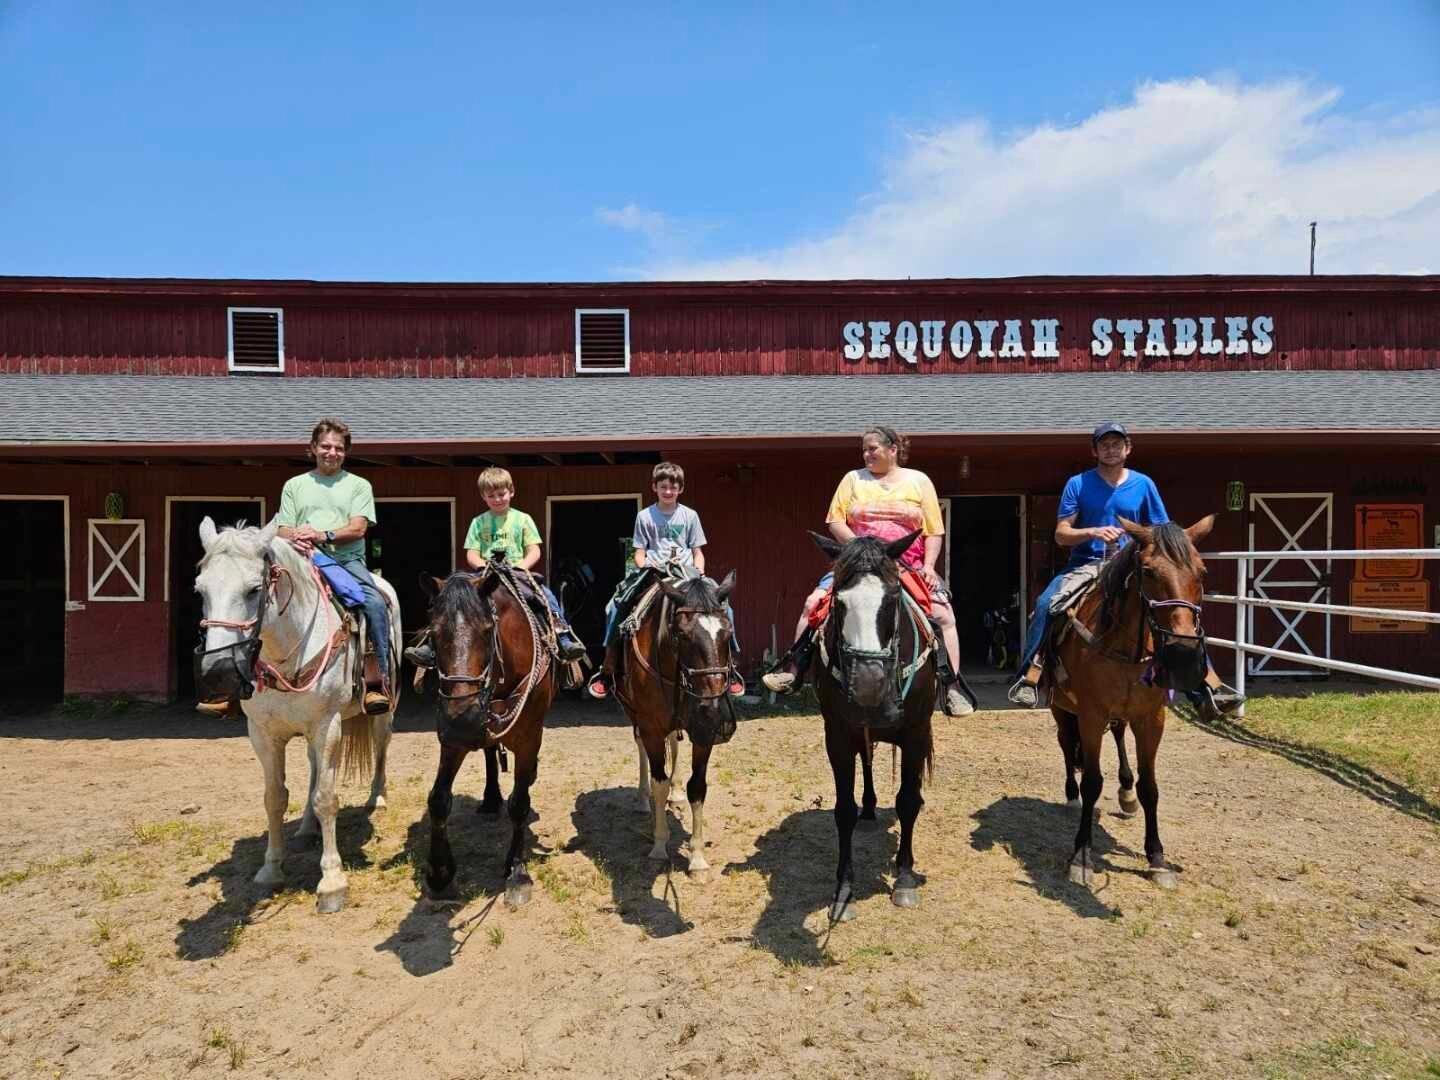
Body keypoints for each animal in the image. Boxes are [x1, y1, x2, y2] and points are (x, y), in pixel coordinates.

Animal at [194, 518, 400, 915]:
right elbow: (274, 797)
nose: (219, 672)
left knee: (381, 745)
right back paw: (306, 827)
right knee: (314, 768)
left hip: (383, 710)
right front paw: (271, 868)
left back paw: (377, 798)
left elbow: (327, 798)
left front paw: (332, 882)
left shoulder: (327, 725)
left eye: (254, 590)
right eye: (200, 590)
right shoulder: (262, 733)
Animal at [420, 570, 552, 910]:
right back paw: (491, 797)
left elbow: (519, 803)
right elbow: (438, 800)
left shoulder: (529, 737)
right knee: (491, 754)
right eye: (433, 633)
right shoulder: (451, 738)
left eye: (488, 629)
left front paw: (517, 872)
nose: (464, 721)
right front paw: (439, 873)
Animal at [610, 567, 737, 881]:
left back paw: (676, 794)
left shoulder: (703, 733)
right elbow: (659, 783)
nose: (716, 713)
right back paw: (643, 800)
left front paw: (698, 858)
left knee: (676, 744)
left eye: (728, 633)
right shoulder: (651, 727)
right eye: (681, 634)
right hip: (635, 716)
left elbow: (697, 787)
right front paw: (659, 847)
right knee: (641, 748)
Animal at [812, 532, 933, 921]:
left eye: (893, 598)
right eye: (838, 601)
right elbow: (843, 810)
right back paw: (868, 808)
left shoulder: (916, 732)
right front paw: (843, 890)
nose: (868, 683)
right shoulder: (837, 734)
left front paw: (905, 879)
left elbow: (908, 802)